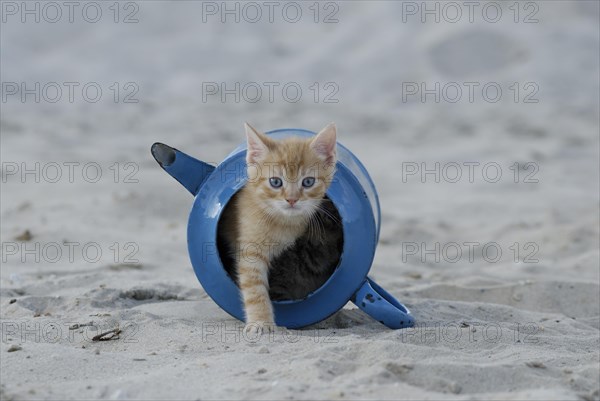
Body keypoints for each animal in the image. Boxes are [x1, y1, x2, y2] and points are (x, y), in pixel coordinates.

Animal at [219, 121, 338, 332]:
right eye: (275, 182)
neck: (282, 222)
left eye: (308, 182)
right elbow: (255, 289)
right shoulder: (251, 250)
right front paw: (261, 322)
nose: (291, 199)